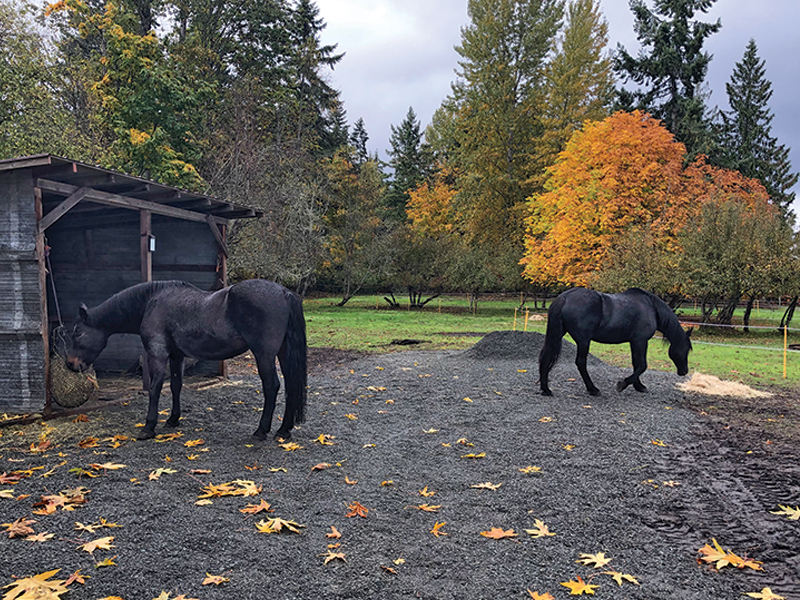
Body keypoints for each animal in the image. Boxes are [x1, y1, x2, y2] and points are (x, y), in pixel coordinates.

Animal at [65, 279, 307, 441]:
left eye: (78, 333)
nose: (70, 364)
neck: (152, 302)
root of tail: (284, 292)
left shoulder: (158, 354)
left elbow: (155, 388)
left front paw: (148, 427)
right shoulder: (176, 355)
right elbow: (175, 386)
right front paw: (173, 419)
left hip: (263, 355)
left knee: (272, 386)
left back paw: (261, 430)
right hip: (282, 353)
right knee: (290, 385)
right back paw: (283, 430)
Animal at [538, 287, 691, 396]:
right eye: (686, 349)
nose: (684, 371)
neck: (651, 307)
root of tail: (564, 297)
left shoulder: (634, 342)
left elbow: (636, 364)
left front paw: (638, 386)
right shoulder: (640, 341)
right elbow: (642, 365)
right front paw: (623, 384)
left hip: (559, 335)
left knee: (546, 356)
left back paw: (545, 389)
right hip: (583, 341)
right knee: (581, 363)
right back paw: (593, 389)